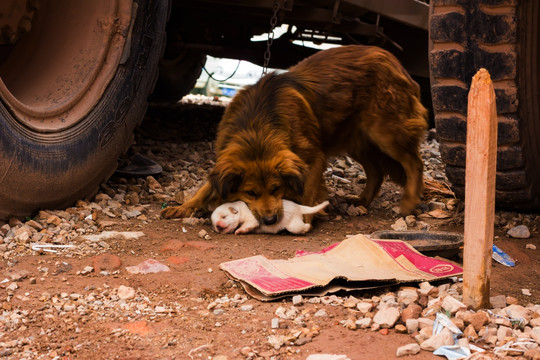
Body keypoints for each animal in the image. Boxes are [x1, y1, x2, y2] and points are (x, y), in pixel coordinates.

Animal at [160, 45, 426, 222]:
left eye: (276, 189)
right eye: (250, 193)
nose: (270, 220)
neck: (257, 129)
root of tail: (395, 61)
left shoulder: (313, 157)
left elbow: (307, 190)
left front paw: (304, 216)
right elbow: (205, 186)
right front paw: (185, 206)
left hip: (384, 132)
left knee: (414, 162)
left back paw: (409, 202)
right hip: (357, 139)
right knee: (376, 171)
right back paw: (363, 200)